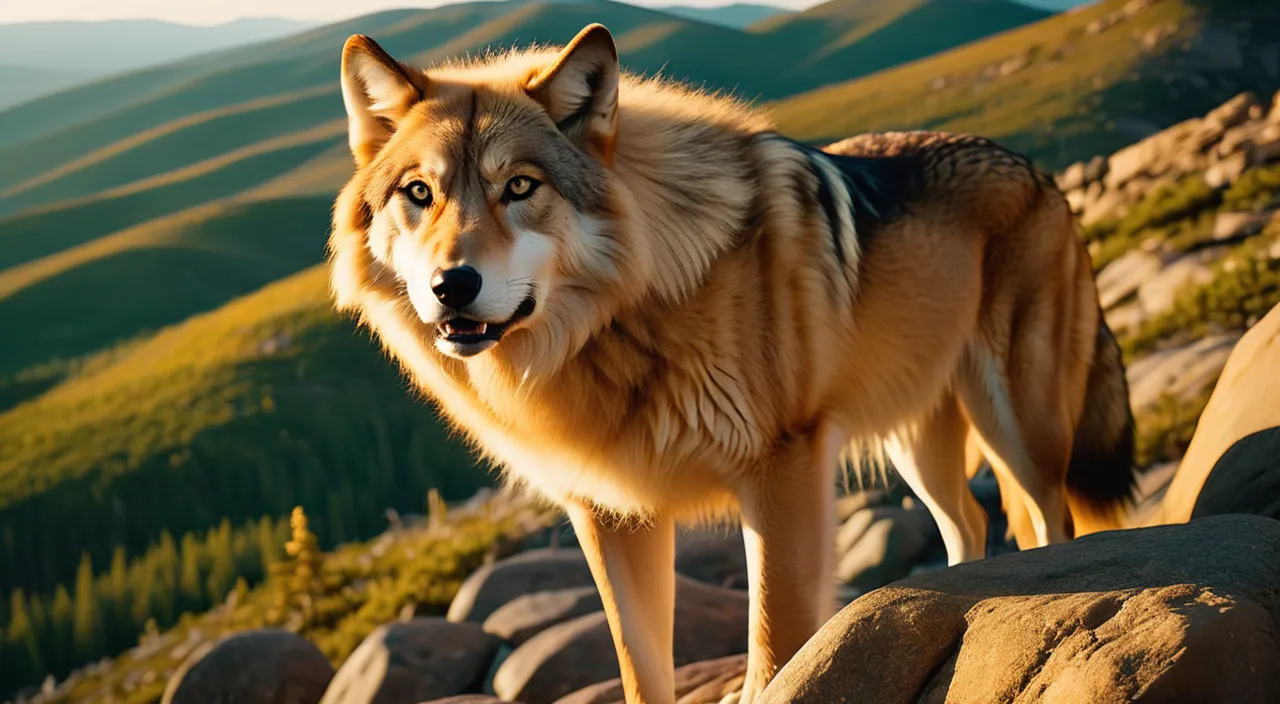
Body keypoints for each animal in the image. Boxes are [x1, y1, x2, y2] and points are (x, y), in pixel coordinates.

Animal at [325, 24, 1136, 704]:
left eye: (519, 186)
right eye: (419, 193)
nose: (450, 286)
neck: (621, 322)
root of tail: (1041, 174)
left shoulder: (782, 470)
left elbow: (775, 648)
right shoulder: (607, 512)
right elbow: (640, 668)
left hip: (1019, 429)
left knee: (1050, 522)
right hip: (918, 443)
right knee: (969, 521)